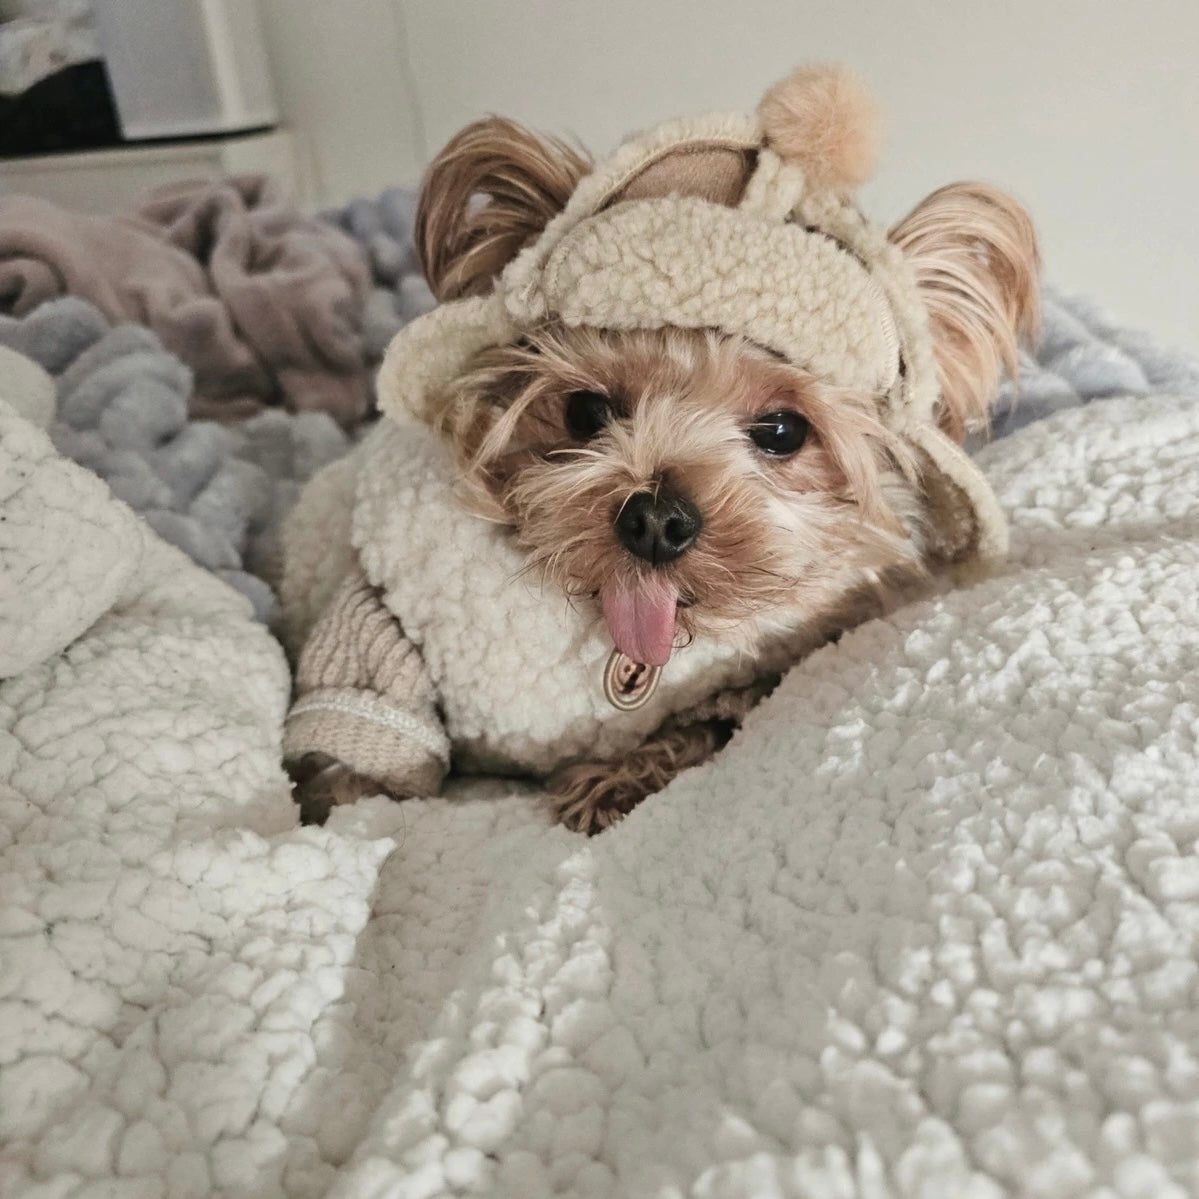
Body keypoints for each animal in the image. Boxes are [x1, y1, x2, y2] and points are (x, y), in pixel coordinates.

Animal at [282, 65, 1040, 834]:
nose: (654, 519)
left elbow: (702, 723)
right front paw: (344, 803)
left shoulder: (762, 673)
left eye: (782, 432)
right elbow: (366, 746)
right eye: (584, 412)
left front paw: (610, 782)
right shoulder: (379, 624)